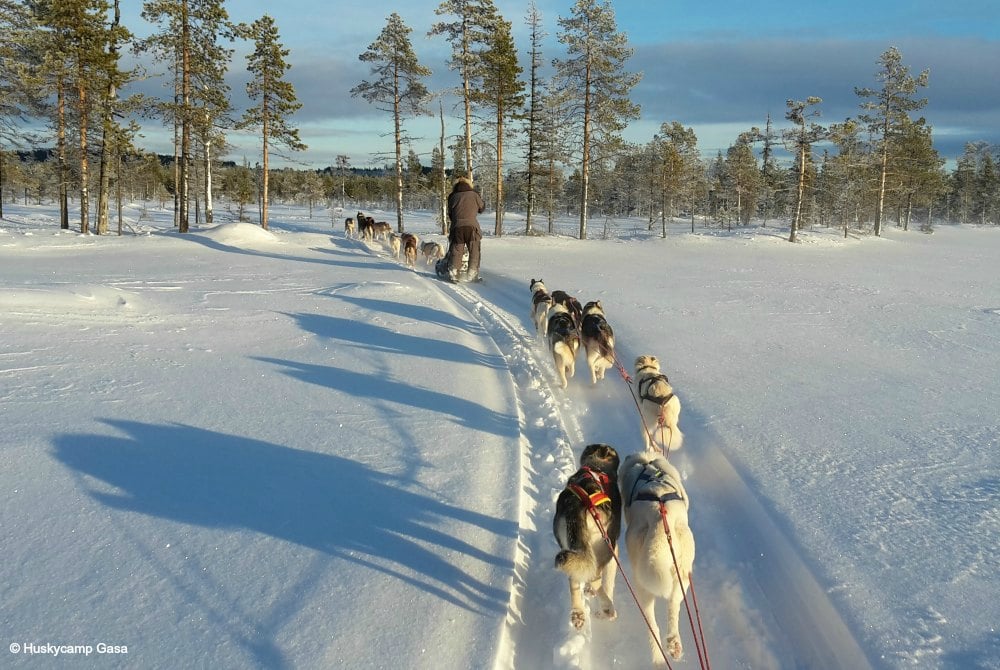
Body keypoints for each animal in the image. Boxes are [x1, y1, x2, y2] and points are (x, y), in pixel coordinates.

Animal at [552, 446, 620, 632]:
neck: (596, 466)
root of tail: (577, 505)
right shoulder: (613, 550)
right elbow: (608, 580)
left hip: (571, 545)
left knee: (574, 577)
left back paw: (578, 613)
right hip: (604, 544)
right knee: (595, 577)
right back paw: (607, 608)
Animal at [616, 448, 696, 664]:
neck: (648, 466)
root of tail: (660, 523)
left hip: (650, 582)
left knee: (655, 622)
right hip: (680, 575)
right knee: (672, 607)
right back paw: (672, 645)